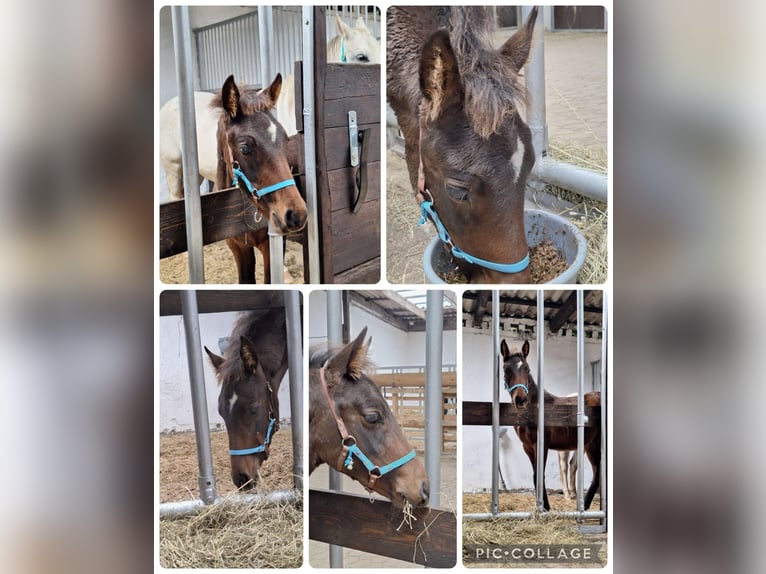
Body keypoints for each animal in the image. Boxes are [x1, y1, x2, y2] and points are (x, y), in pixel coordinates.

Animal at [501, 339, 601, 510]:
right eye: (506, 369)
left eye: (527, 369)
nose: (520, 400)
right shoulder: (528, 447)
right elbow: (535, 474)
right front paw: (541, 507)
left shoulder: (542, 444)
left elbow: (539, 474)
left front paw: (545, 508)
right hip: (590, 444)